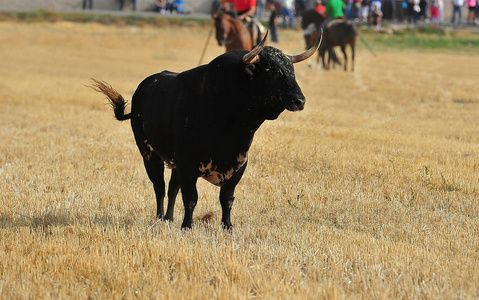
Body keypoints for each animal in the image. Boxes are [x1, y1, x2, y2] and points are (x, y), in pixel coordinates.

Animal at [91, 32, 322, 230]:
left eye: (291, 71)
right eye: (272, 71)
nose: (300, 100)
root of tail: (143, 87)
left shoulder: (238, 165)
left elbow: (226, 199)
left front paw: (227, 226)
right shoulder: (188, 164)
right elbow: (190, 198)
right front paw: (187, 226)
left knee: (172, 187)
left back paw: (169, 218)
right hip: (149, 154)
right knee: (159, 186)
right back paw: (159, 218)